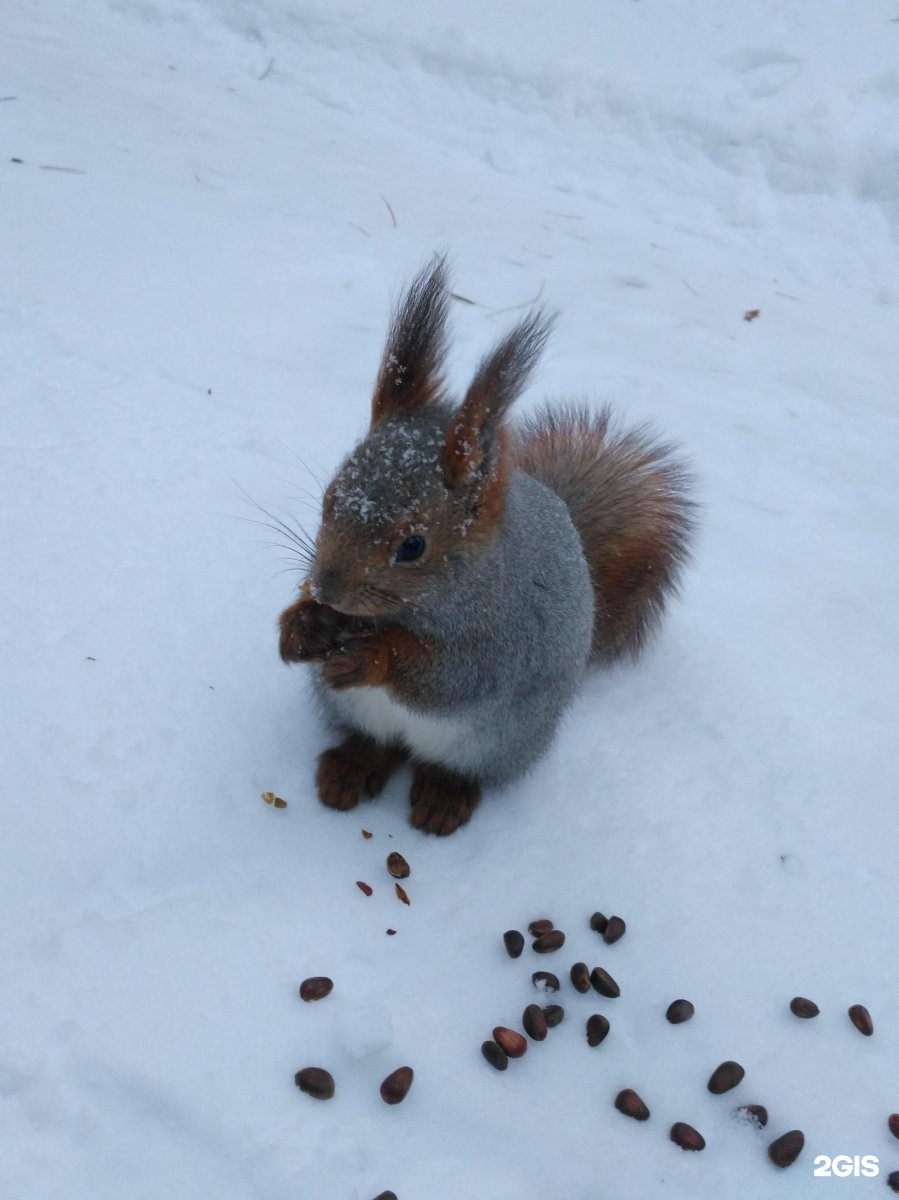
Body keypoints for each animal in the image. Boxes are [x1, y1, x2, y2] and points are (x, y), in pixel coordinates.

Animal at [277, 255, 696, 835]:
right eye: (328, 498)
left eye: (413, 545)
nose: (328, 589)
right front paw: (301, 624)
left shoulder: (504, 637)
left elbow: (449, 678)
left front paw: (370, 655)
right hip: (351, 711)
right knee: (377, 744)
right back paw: (351, 767)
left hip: (502, 739)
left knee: (452, 764)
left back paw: (443, 796)